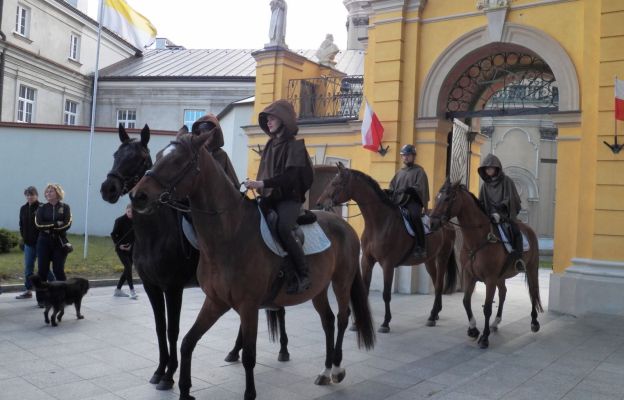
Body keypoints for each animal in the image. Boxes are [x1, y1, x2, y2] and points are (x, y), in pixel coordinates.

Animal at [130, 131, 376, 400]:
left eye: (177, 160)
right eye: (157, 156)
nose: (137, 195)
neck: (229, 234)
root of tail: (345, 226)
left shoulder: (247, 306)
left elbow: (249, 356)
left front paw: (248, 393)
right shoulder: (215, 301)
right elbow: (187, 342)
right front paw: (183, 389)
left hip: (341, 282)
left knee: (342, 318)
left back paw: (337, 369)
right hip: (319, 288)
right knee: (328, 321)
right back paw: (325, 370)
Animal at [316, 162, 458, 332]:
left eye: (336, 183)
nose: (319, 203)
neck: (379, 222)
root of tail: (447, 222)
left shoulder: (388, 264)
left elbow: (386, 294)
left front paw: (385, 322)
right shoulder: (366, 261)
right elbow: (365, 289)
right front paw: (357, 324)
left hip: (442, 257)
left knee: (439, 284)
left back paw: (432, 316)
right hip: (429, 260)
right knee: (436, 282)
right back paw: (435, 313)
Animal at [428, 180, 540, 348]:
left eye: (447, 198)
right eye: (436, 197)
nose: (432, 222)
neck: (478, 239)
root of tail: (529, 230)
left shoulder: (490, 279)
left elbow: (487, 307)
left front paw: (484, 337)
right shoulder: (470, 276)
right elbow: (466, 301)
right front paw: (473, 330)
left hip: (531, 269)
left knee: (532, 292)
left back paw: (534, 322)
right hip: (502, 276)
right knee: (503, 293)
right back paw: (496, 322)